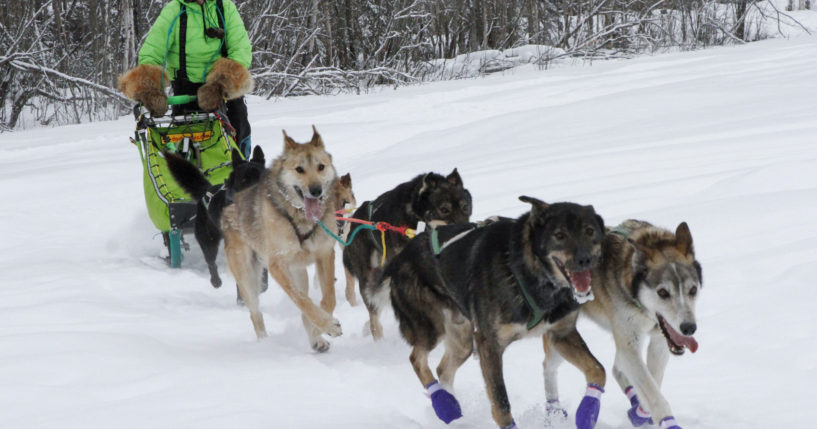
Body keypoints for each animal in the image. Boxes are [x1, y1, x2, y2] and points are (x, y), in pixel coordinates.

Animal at [164, 145, 266, 290]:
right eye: (244, 181)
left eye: (259, 178)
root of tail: (207, 191)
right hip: (208, 240)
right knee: (211, 262)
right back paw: (216, 281)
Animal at [382, 196, 604, 428]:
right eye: (559, 235)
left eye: (590, 231)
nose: (585, 259)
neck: (525, 272)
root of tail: (400, 257)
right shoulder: (489, 344)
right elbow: (500, 401)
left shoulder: (561, 334)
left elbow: (598, 370)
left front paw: (588, 410)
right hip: (431, 329)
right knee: (416, 358)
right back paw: (442, 402)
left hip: (463, 340)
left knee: (443, 370)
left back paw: (453, 408)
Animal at [540, 221, 700, 428]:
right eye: (663, 292)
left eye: (693, 290)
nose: (689, 328)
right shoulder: (630, 344)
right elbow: (654, 394)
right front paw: (667, 421)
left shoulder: (657, 342)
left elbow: (652, 381)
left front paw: (639, 412)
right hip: (562, 337)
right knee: (547, 366)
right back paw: (554, 411)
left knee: (616, 369)